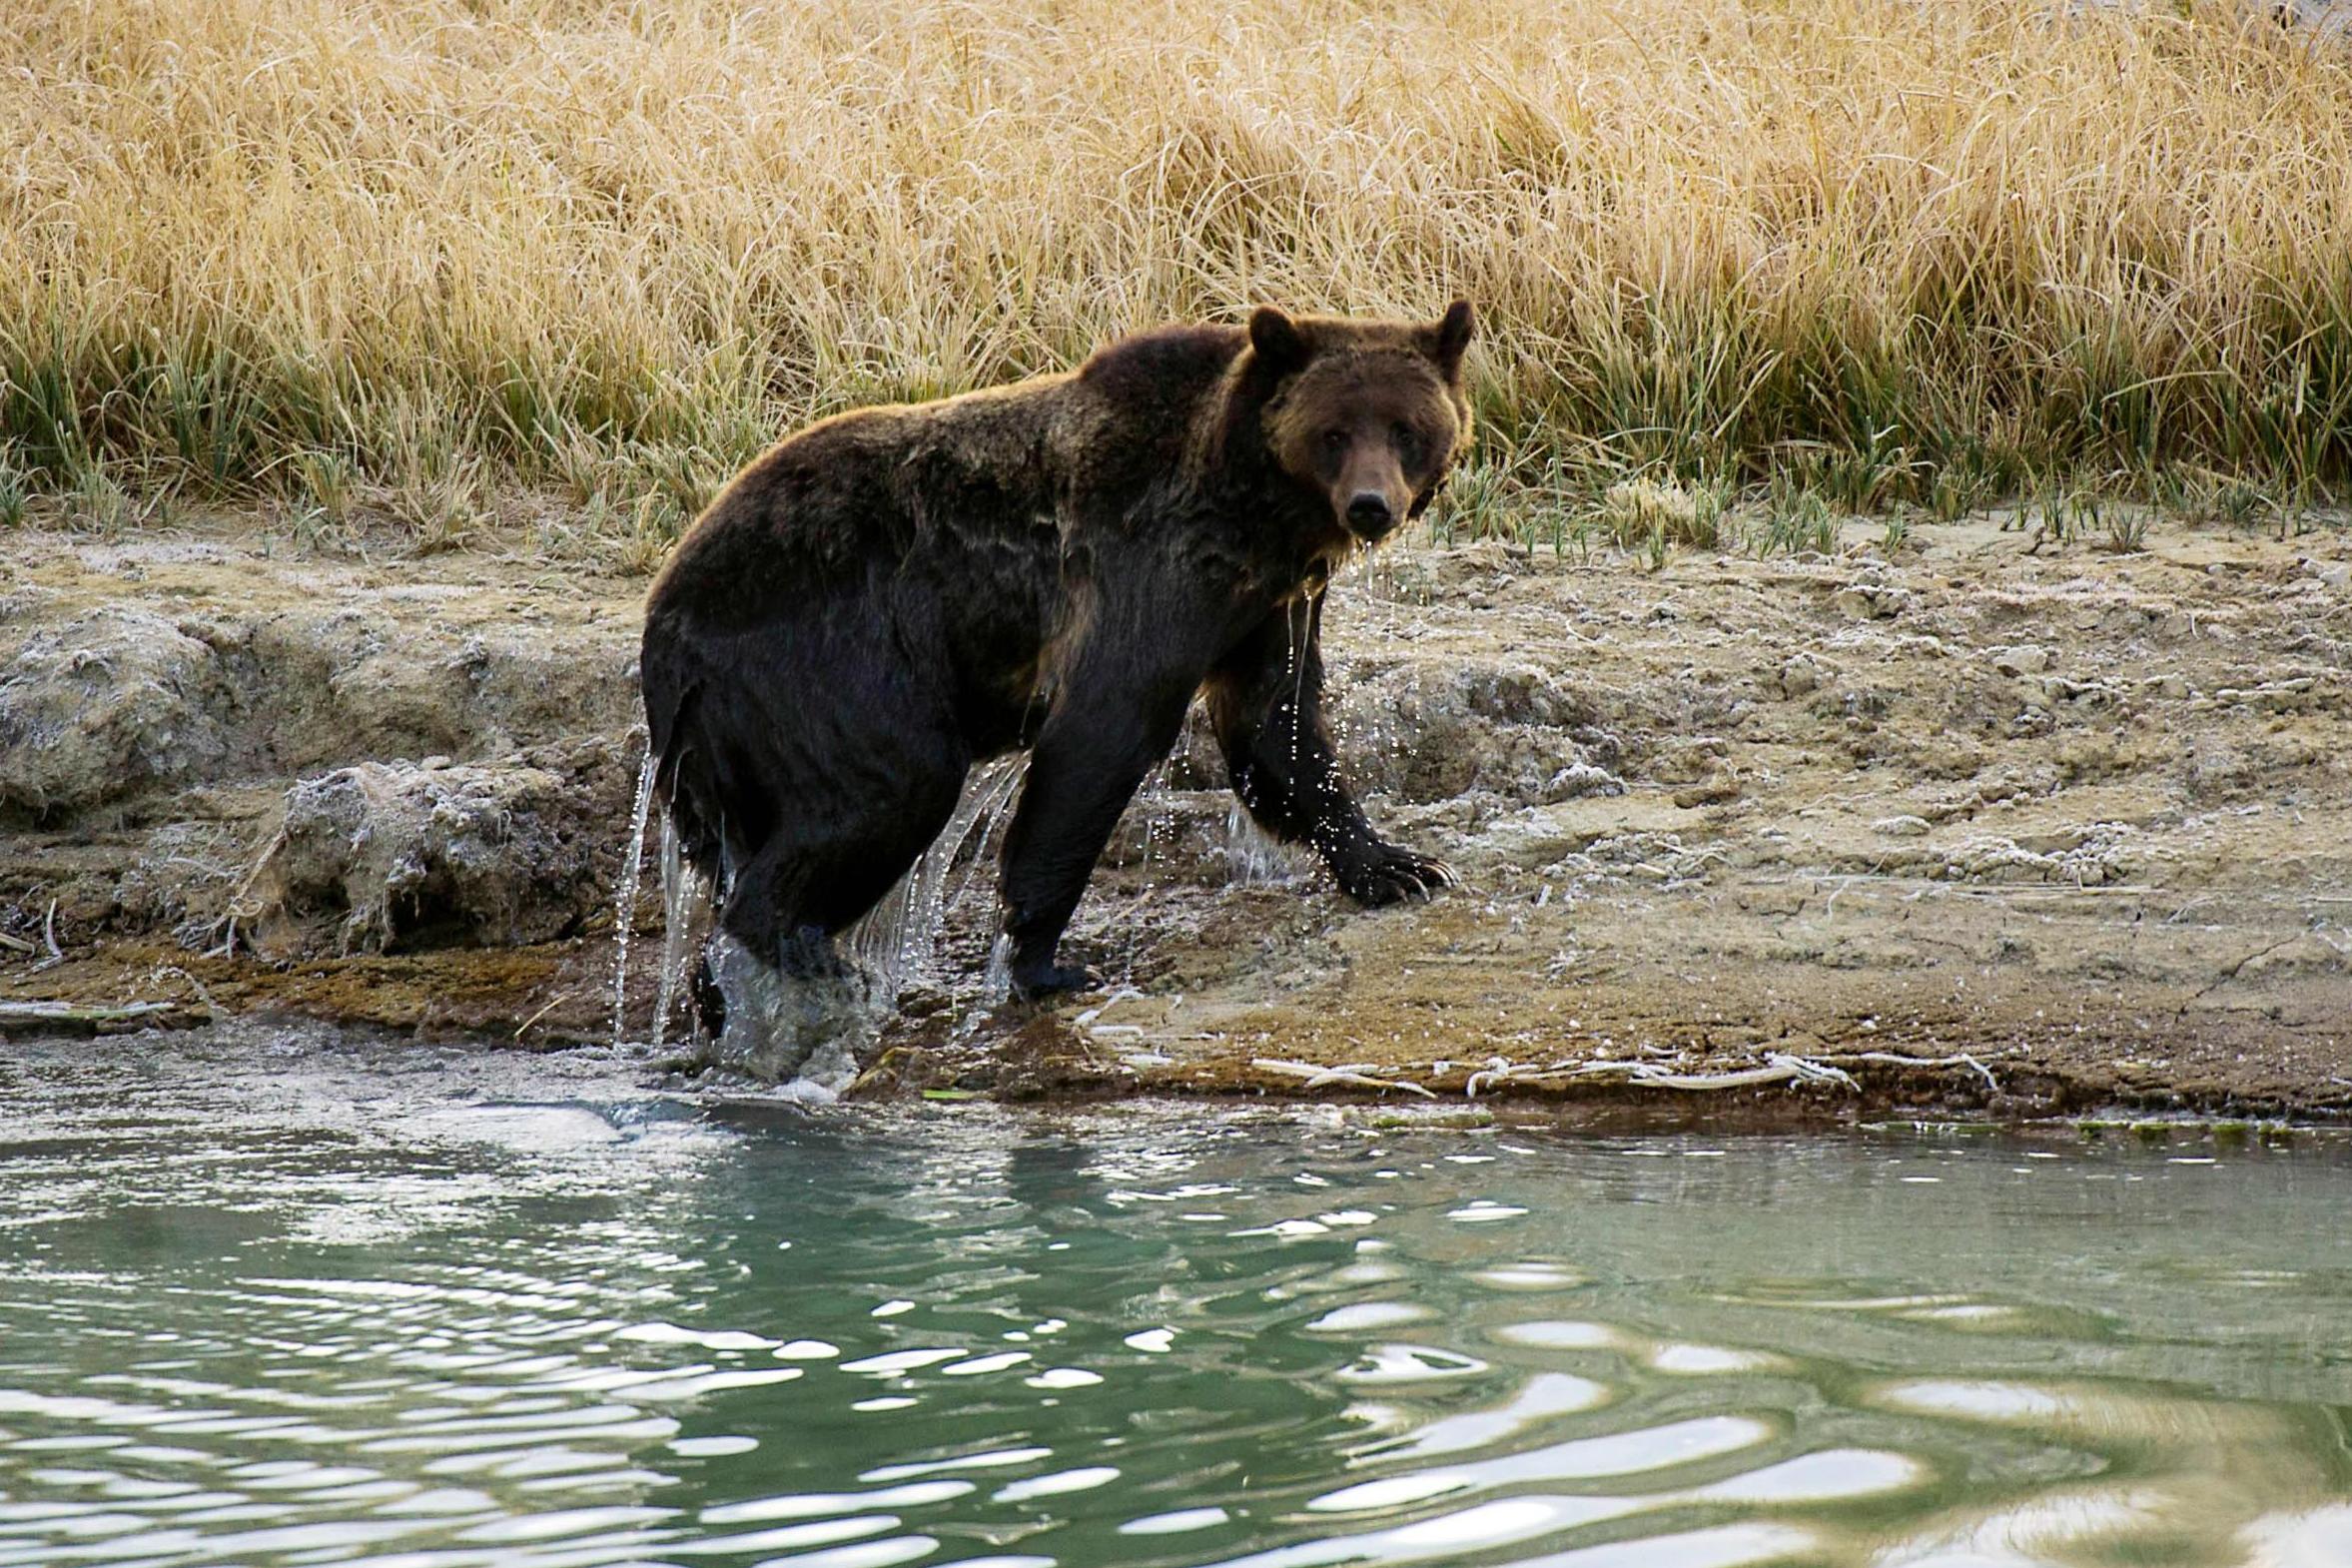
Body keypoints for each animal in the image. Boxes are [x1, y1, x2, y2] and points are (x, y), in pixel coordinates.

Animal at [644, 301, 1476, 1001]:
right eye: (1333, 432)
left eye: (1404, 427)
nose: (1370, 506)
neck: (1252, 516)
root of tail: (664, 619)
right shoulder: (1143, 569)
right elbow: (1103, 733)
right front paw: (1044, 958)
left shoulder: (1265, 606)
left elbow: (1279, 728)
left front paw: (1400, 865)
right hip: (824, 653)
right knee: (892, 783)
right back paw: (806, 955)